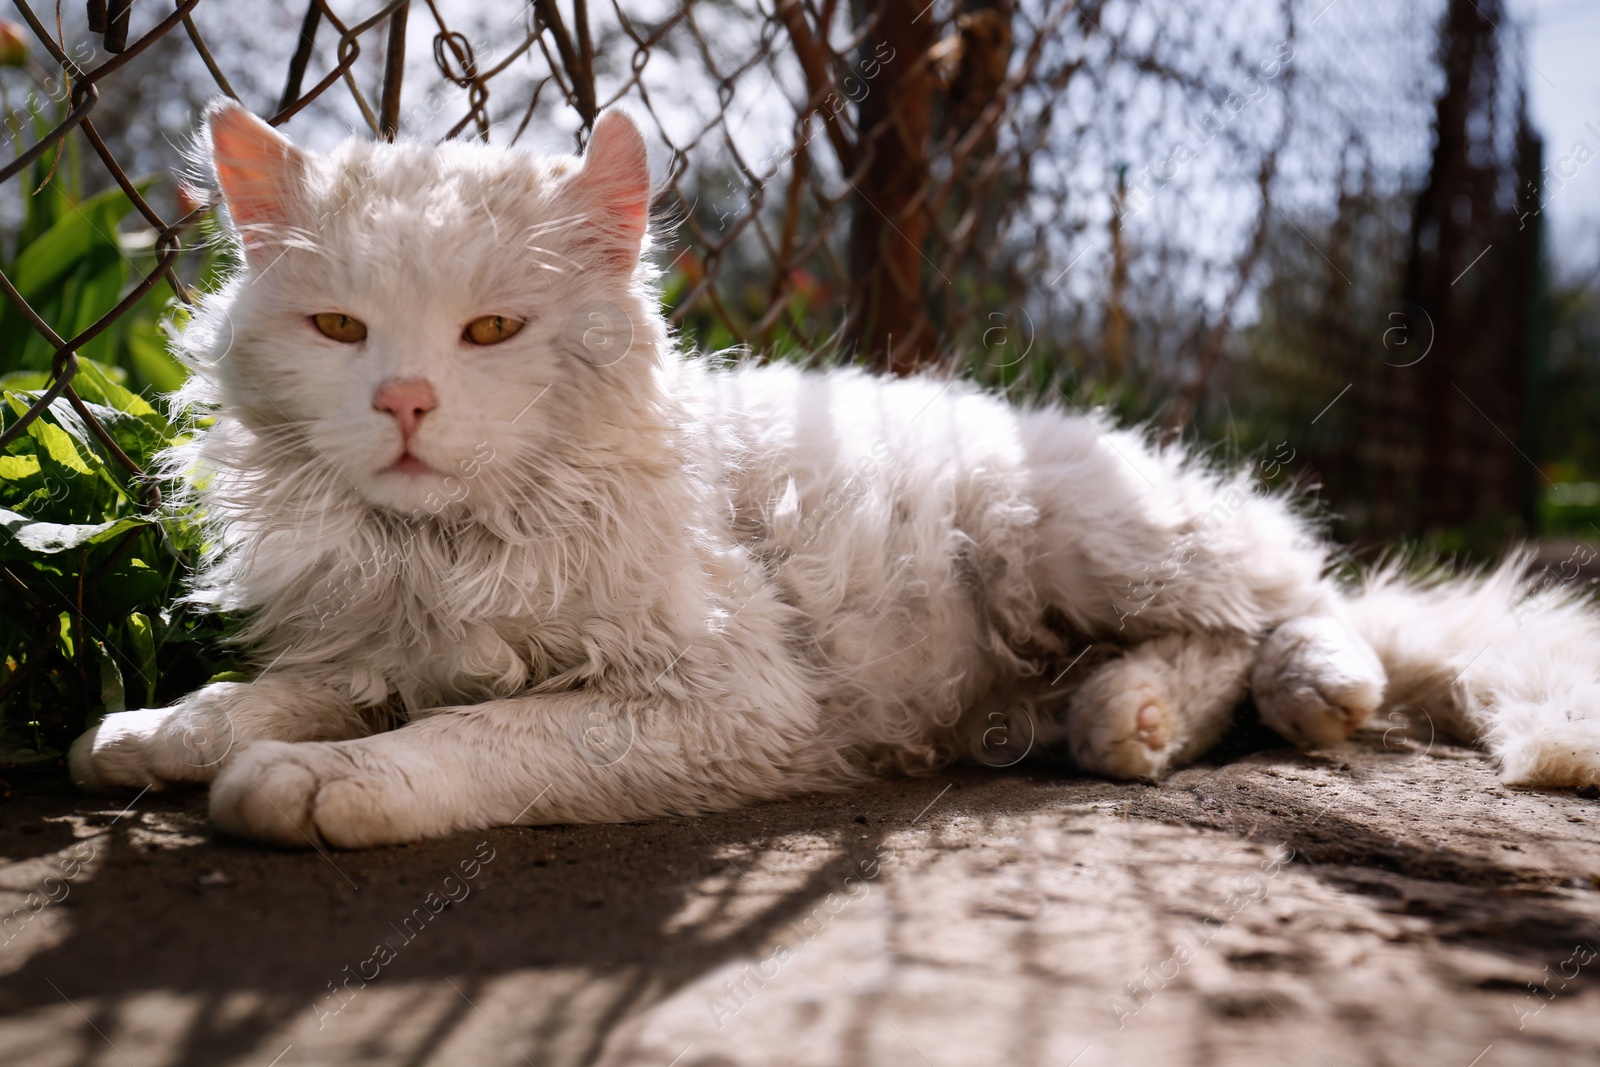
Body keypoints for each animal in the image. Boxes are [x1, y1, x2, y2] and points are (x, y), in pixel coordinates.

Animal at [68, 102, 1600, 851]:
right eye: (339, 329)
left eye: (490, 331)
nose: (403, 399)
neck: (452, 553)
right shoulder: (378, 637)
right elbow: (275, 689)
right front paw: (161, 729)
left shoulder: (725, 695)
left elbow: (479, 737)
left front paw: (315, 784)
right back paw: (1111, 711)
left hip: (1073, 530)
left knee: (1291, 602)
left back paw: (1208, 702)